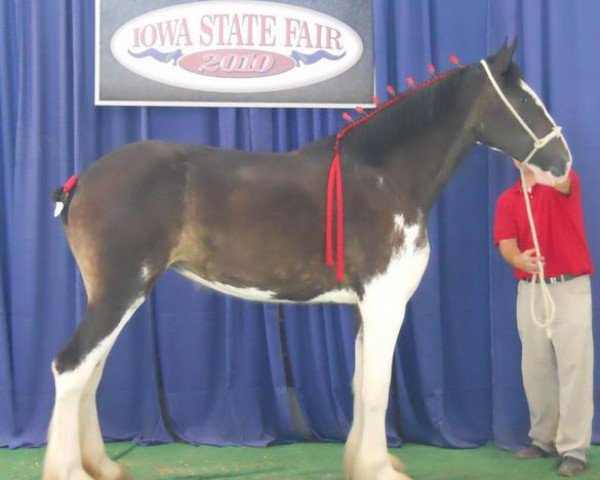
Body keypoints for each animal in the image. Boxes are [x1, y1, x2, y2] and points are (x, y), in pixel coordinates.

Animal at [42, 41, 572, 480]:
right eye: (527, 100)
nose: (564, 163)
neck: (383, 177)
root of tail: (82, 181)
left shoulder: (363, 308)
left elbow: (360, 385)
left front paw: (362, 462)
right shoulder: (384, 304)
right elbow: (377, 390)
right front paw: (380, 469)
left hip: (117, 296)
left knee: (90, 373)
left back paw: (103, 467)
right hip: (120, 293)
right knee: (70, 368)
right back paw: (70, 470)